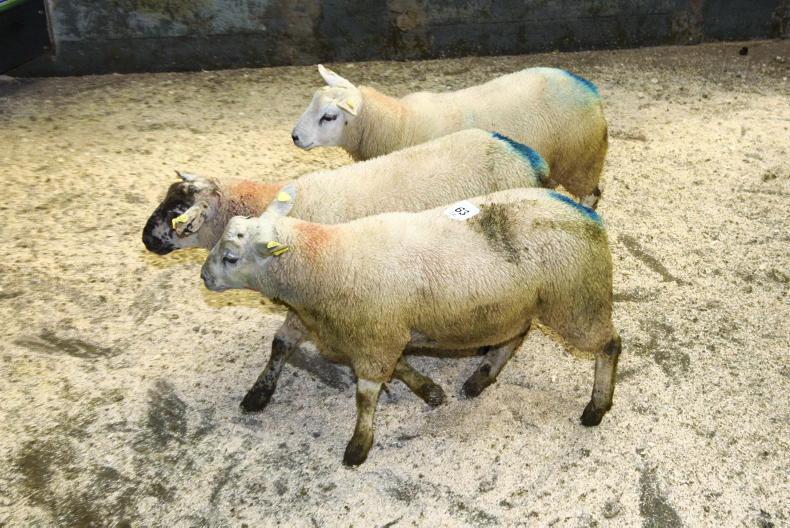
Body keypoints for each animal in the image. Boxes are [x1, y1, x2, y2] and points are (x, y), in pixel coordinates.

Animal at [142, 128, 550, 410]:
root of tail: (526, 156)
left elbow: (290, 344)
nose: (146, 239)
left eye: (178, 214)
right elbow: (284, 344)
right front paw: (259, 393)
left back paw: (481, 373)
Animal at [201, 187, 621, 466]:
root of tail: (584, 211)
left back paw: (596, 407)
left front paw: (358, 445)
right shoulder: (365, 330)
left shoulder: (375, 338)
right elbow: (284, 345)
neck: (324, 262)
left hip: (576, 301)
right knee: (514, 338)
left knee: (610, 344)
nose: (204, 277)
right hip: (516, 306)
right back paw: (480, 378)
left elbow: (366, 395)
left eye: (231, 256)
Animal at [292, 65, 608, 207]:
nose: (294, 137)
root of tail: (588, 88)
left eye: (329, 117)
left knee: (591, 196)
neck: (400, 122)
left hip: (581, 161)